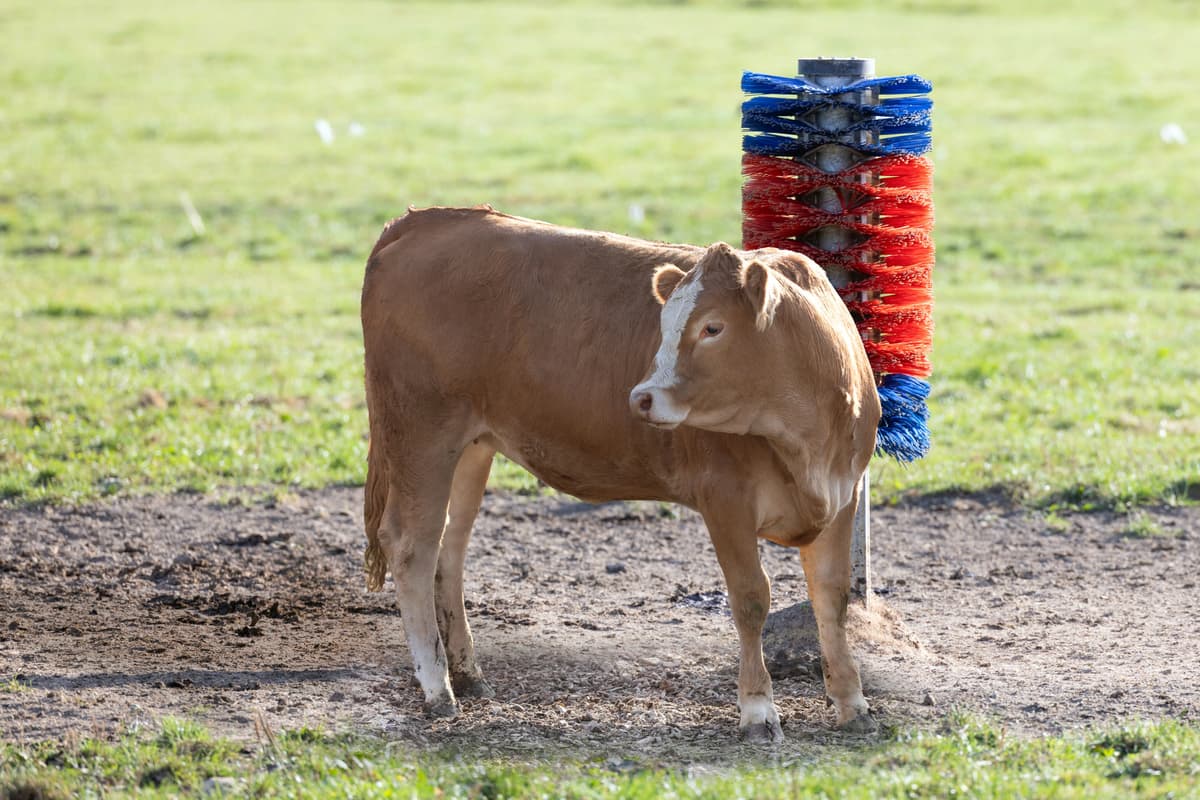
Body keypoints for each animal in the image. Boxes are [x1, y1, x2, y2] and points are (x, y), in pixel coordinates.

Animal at [360, 205, 881, 742]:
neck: (805, 433)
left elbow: (832, 598)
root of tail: (432, 221)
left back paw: (466, 673)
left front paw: (852, 701)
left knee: (450, 548)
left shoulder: (844, 495)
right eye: (664, 323)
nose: (641, 397)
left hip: (471, 446)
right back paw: (437, 688)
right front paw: (758, 709)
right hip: (422, 432)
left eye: (712, 328)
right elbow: (751, 598)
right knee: (412, 545)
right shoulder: (725, 499)